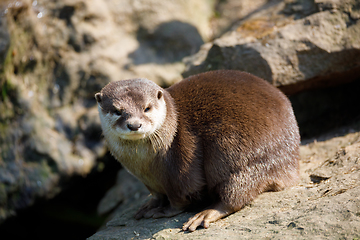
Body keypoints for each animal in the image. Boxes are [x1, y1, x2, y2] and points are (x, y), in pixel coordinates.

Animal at [94, 70, 300, 232]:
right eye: (117, 111)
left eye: (147, 108)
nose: (134, 125)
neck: (144, 165)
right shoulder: (146, 180)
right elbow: (157, 194)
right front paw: (149, 205)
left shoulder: (180, 166)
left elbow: (181, 196)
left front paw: (164, 210)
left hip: (237, 151)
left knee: (236, 193)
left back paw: (206, 214)